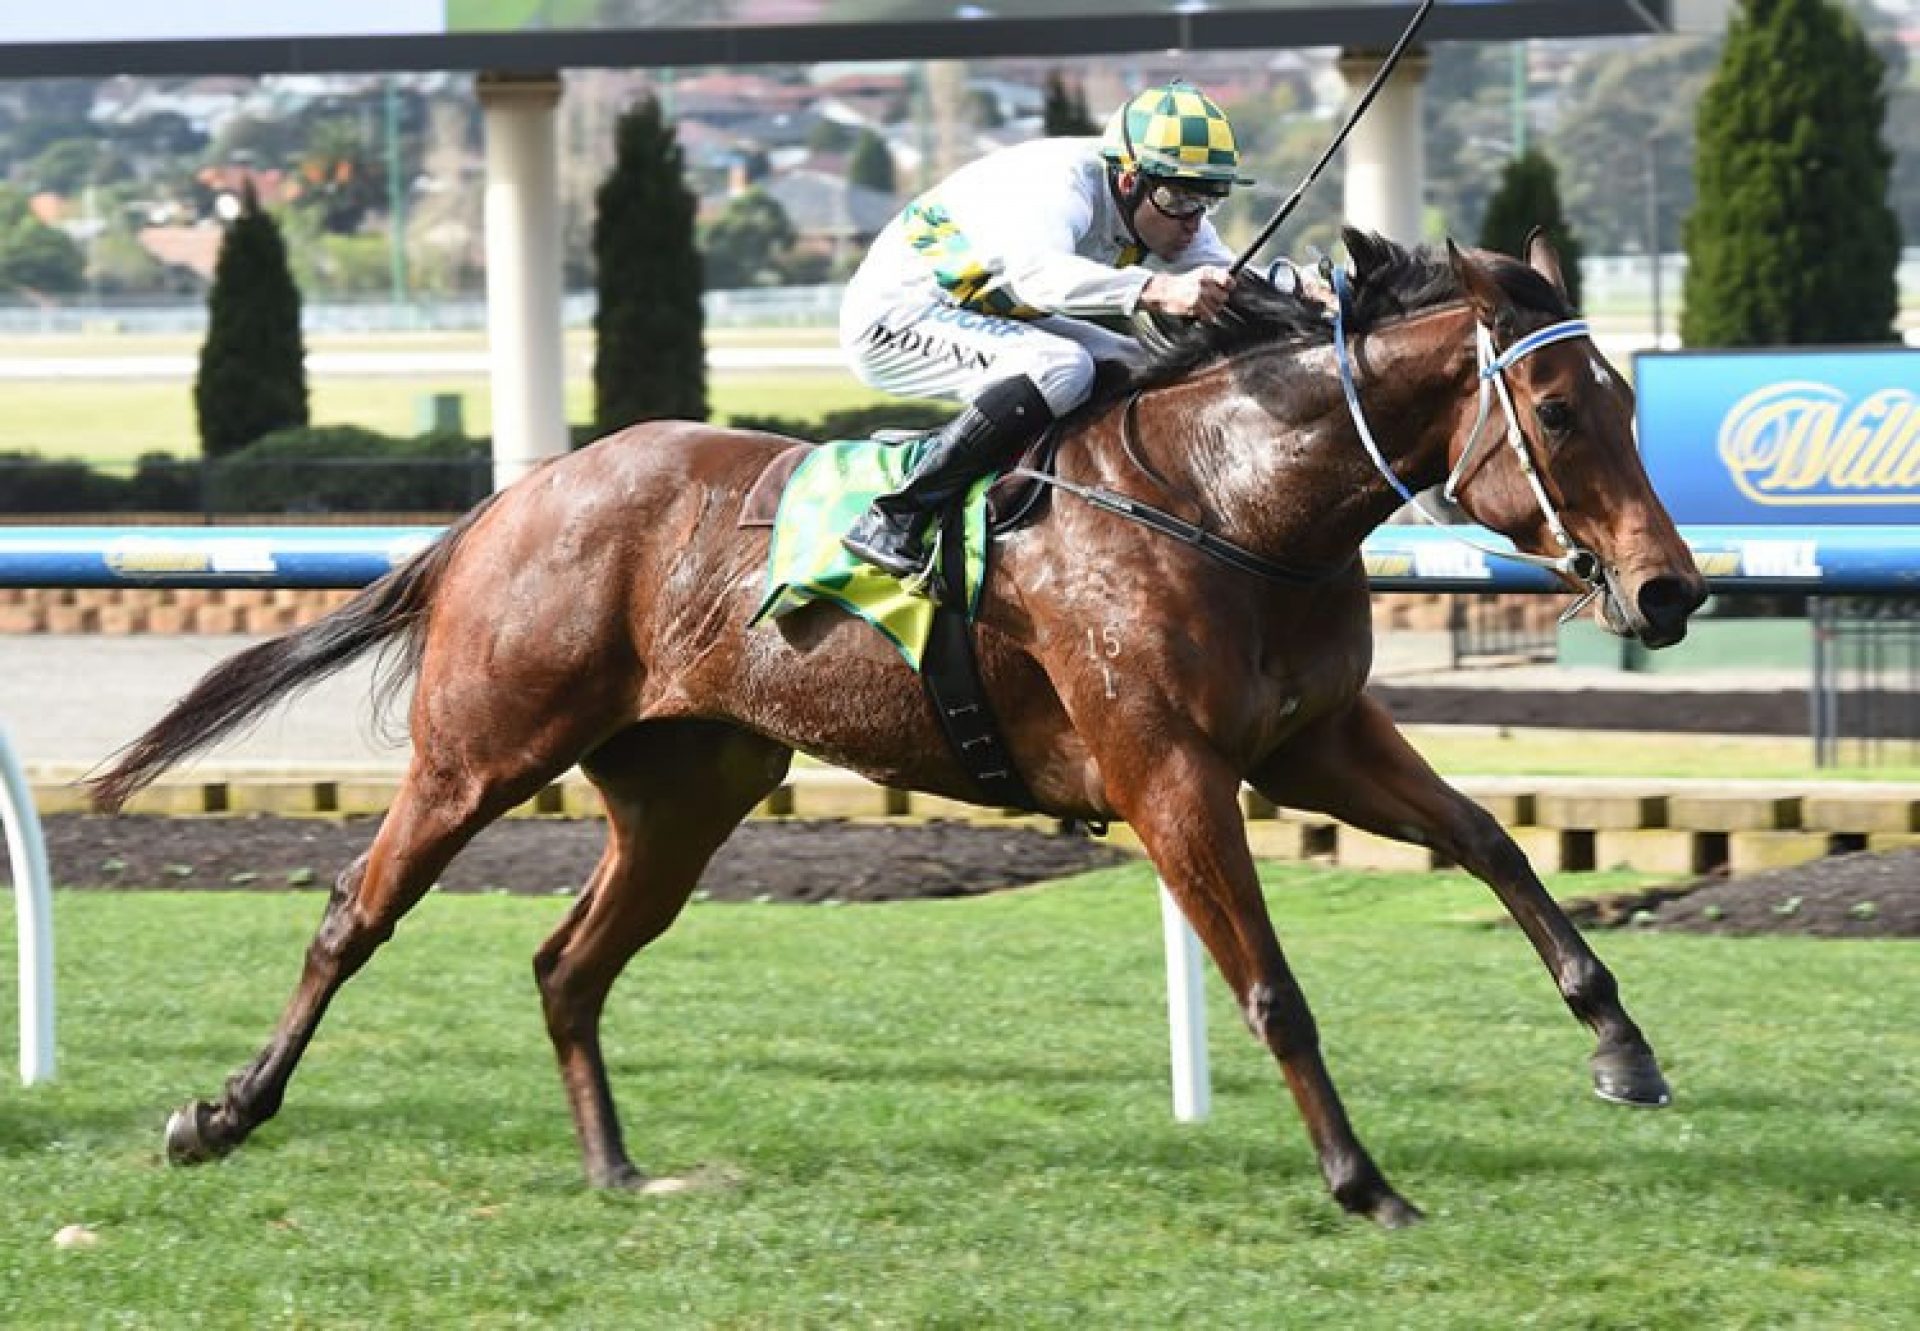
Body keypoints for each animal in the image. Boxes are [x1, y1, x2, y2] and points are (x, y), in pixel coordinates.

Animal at [93, 225, 1712, 1221]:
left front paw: (1623, 1049)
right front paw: (1364, 1179)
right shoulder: (1169, 769)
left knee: (568, 962)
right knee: (350, 918)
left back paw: (617, 1168)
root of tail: (515, 497)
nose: (1670, 587)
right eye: (1560, 412)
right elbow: (1274, 988)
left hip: (686, 789)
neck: (1231, 498)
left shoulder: (1314, 738)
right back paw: (220, 1114)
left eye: (1628, 397)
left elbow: (1492, 842)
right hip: (480, 750)